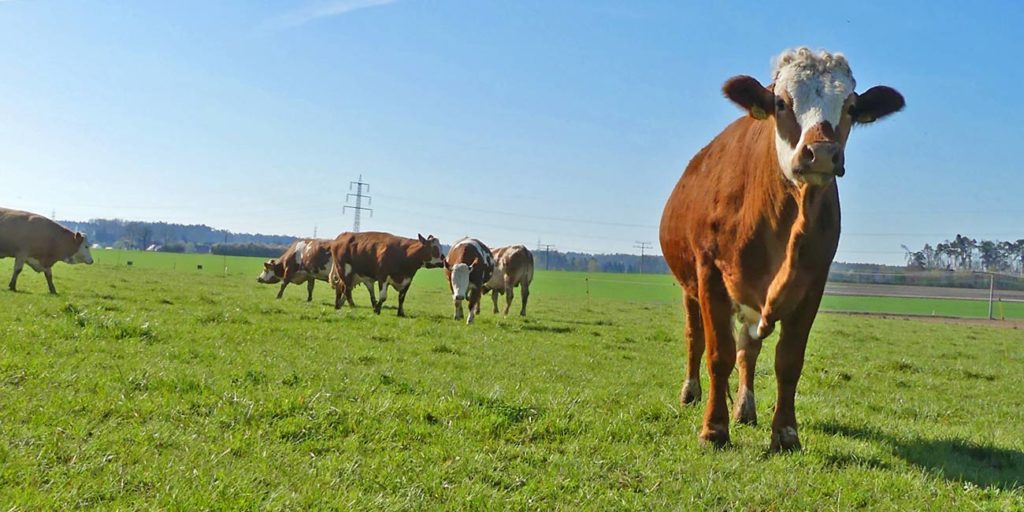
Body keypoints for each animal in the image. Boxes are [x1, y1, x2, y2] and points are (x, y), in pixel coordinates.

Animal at [659, 46, 901, 450]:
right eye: (781, 102)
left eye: (851, 107)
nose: (822, 153)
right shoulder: (710, 273)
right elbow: (718, 353)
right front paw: (714, 429)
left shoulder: (812, 282)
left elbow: (787, 360)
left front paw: (785, 433)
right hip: (689, 286)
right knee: (696, 339)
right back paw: (691, 394)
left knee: (748, 349)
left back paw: (745, 408)